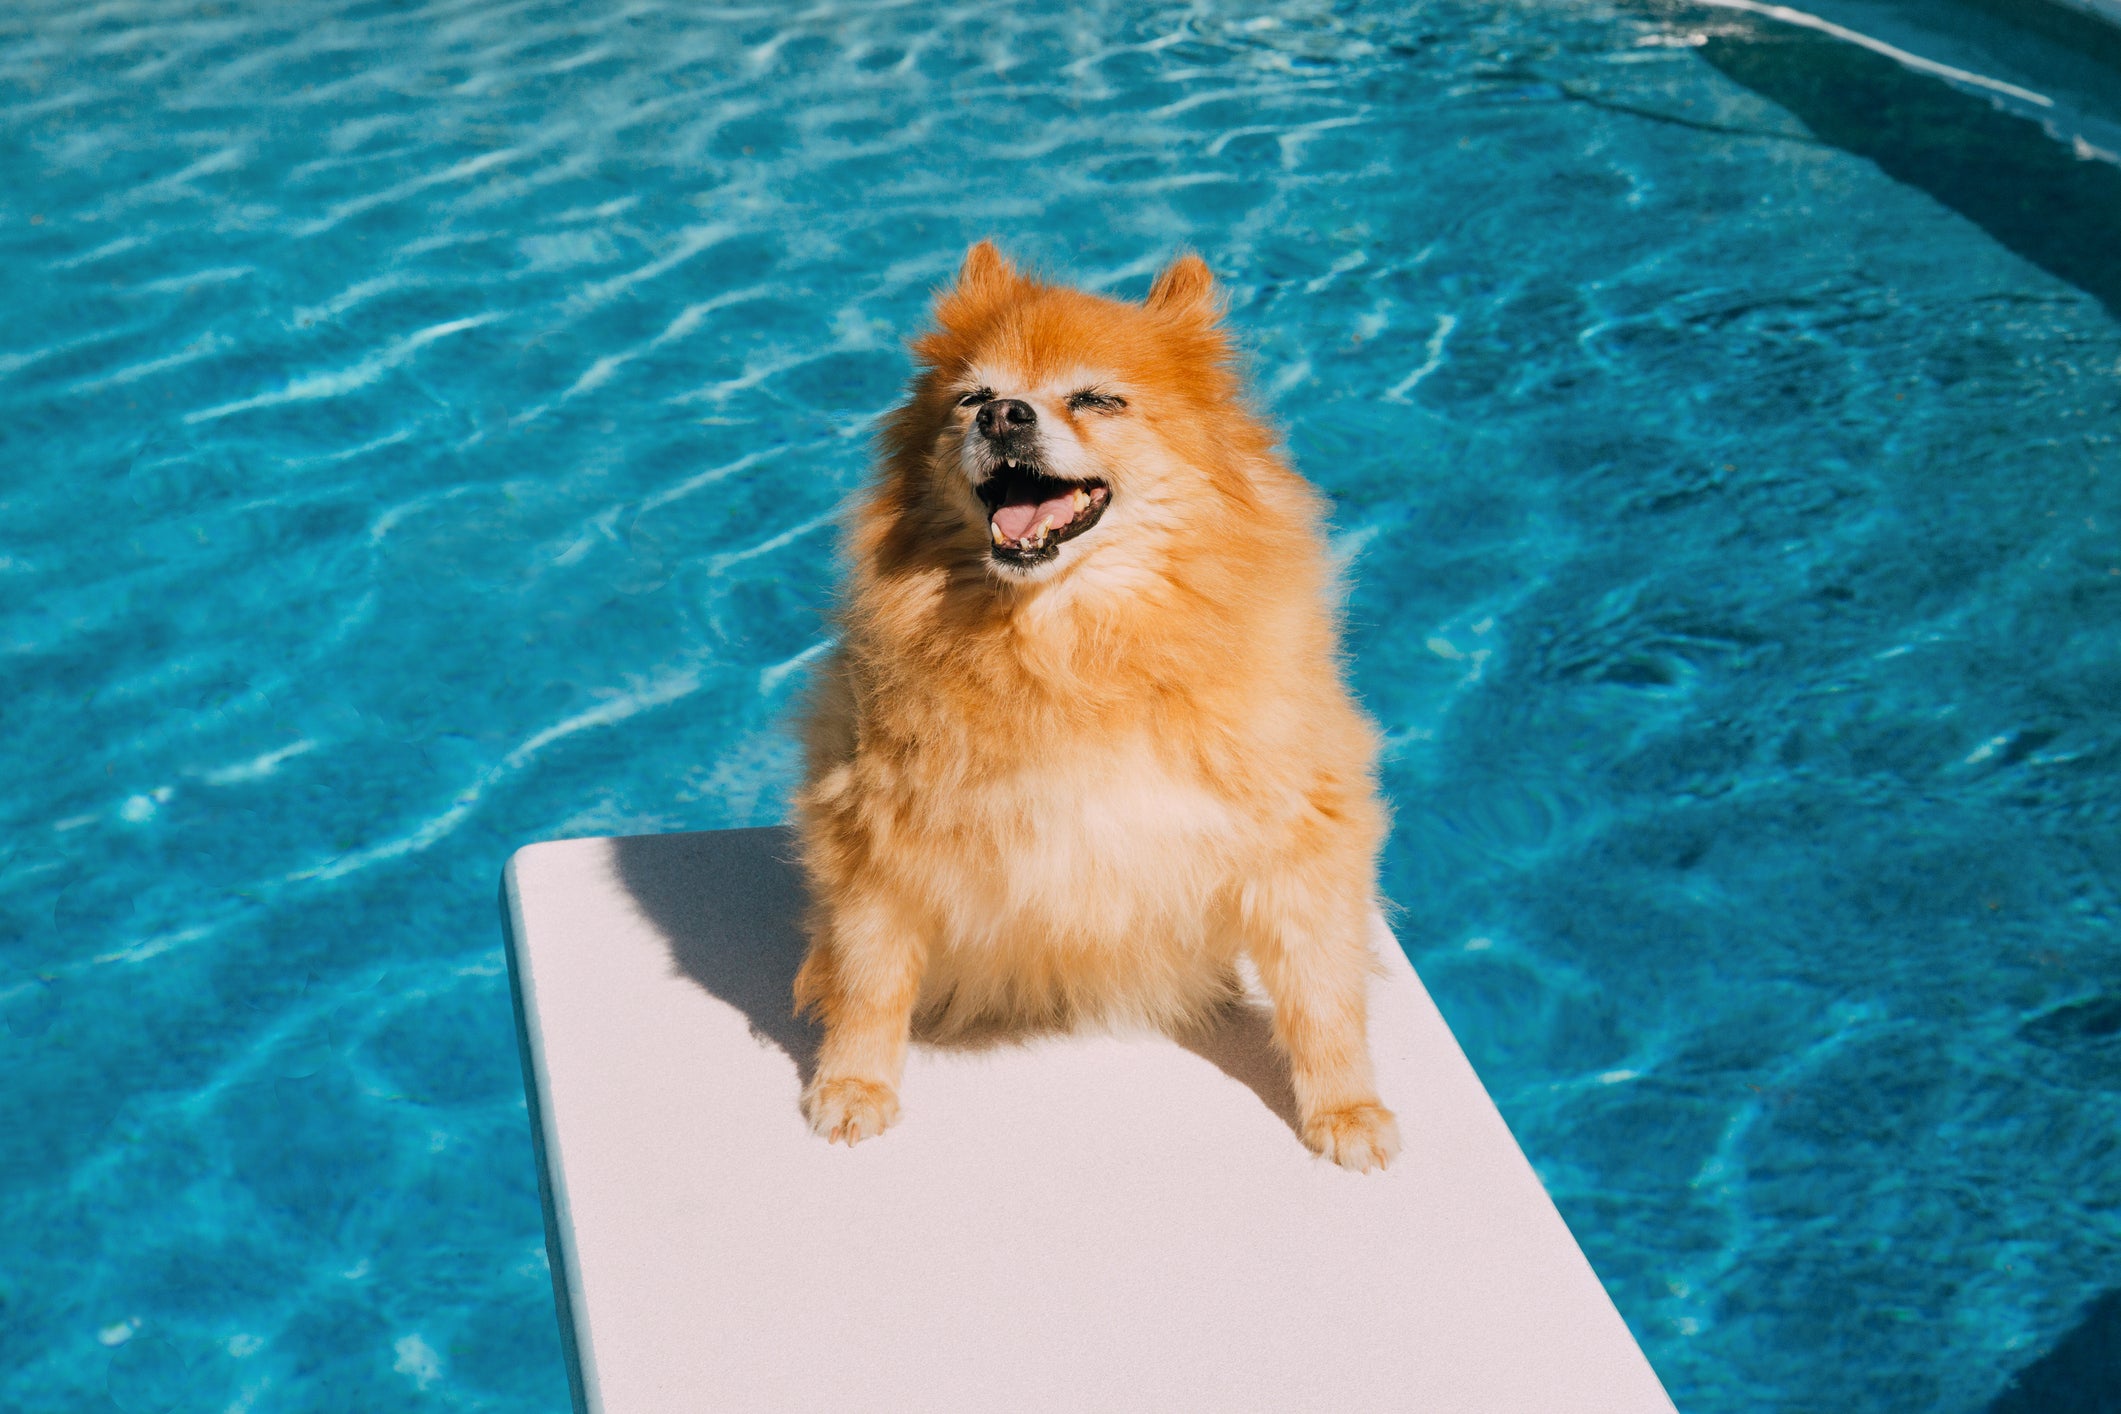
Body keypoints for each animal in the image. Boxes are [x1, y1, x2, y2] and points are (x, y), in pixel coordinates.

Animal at [789, 243, 1399, 1170]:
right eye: (970, 397)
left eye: (1095, 400)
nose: (1003, 415)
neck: (1070, 642)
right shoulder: (878, 830)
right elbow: (869, 974)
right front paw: (855, 1081)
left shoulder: (1299, 826)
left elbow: (1321, 988)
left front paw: (1346, 1106)